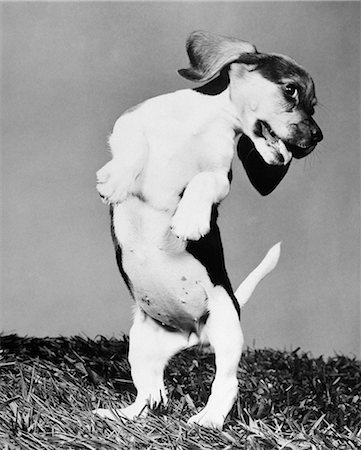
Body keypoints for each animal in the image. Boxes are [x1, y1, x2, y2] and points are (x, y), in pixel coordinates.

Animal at [94, 30, 322, 428]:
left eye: (314, 104)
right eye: (290, 90)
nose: (317, 137)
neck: (201, 124)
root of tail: (189, 333)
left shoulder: (220, 176)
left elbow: (203, 181)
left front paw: (190, 220)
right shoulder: (129, 124)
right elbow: (135, 147)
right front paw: (117, 179)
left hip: (226, 325)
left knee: (225, 384)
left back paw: (209, 420)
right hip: (139, 343)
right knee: (151, 392)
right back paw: (124, 414)